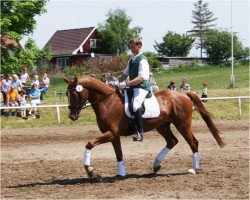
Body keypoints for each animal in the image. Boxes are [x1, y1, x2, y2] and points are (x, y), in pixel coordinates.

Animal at [63, 76, 224, 177]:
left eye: (75, 94)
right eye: (66, 94)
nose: (72, 116)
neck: (107, 102)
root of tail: (182, 94)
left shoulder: (111, 133)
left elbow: (89, 143)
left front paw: (90, 170)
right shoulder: (114, 136)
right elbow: (119, 154)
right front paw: (121, 173)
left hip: (182, 125)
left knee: (193, 142)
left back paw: (194, 169)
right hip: (162, 126)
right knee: (172, 141)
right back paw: (156, 165)